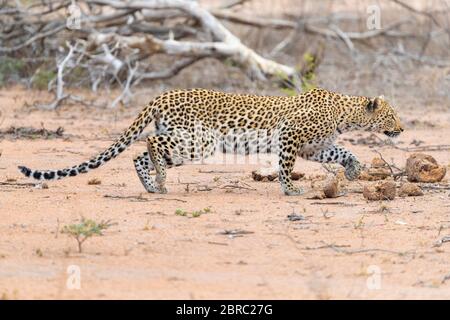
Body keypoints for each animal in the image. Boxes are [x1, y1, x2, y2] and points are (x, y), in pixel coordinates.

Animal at [17, 87, 404, 196]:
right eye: (391, 116)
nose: (401, 130)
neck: (345, 112)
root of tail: (162, 95)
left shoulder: (315, 146)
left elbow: (343, 151)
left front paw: (353, 170)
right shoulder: (291, 138)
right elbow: (285, 166)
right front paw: (290, 190)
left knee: (138, 157)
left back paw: (153, 187)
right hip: (196, 140)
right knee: (151, 144)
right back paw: (160, 180)